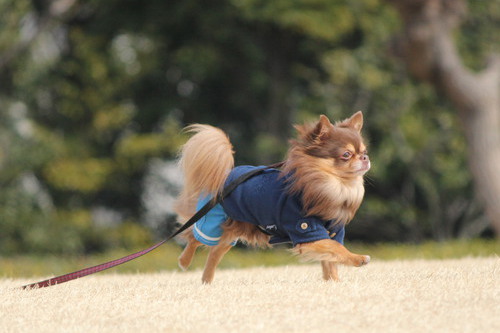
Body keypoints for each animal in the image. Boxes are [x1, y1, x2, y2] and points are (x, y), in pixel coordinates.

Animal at [174, 111, 370, 282]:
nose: (365, 158)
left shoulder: (333, 232)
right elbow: (336, 248)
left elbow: (331, 260)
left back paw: (206, 281)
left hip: (231, 230)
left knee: (214, 252)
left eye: (364, 151)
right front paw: (358, 258)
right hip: (213, 223)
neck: (338, 187)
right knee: (194, 238)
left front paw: (334, 282)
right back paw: (184, 262)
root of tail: (223, 176)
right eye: (346, 155)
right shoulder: (306, 230)